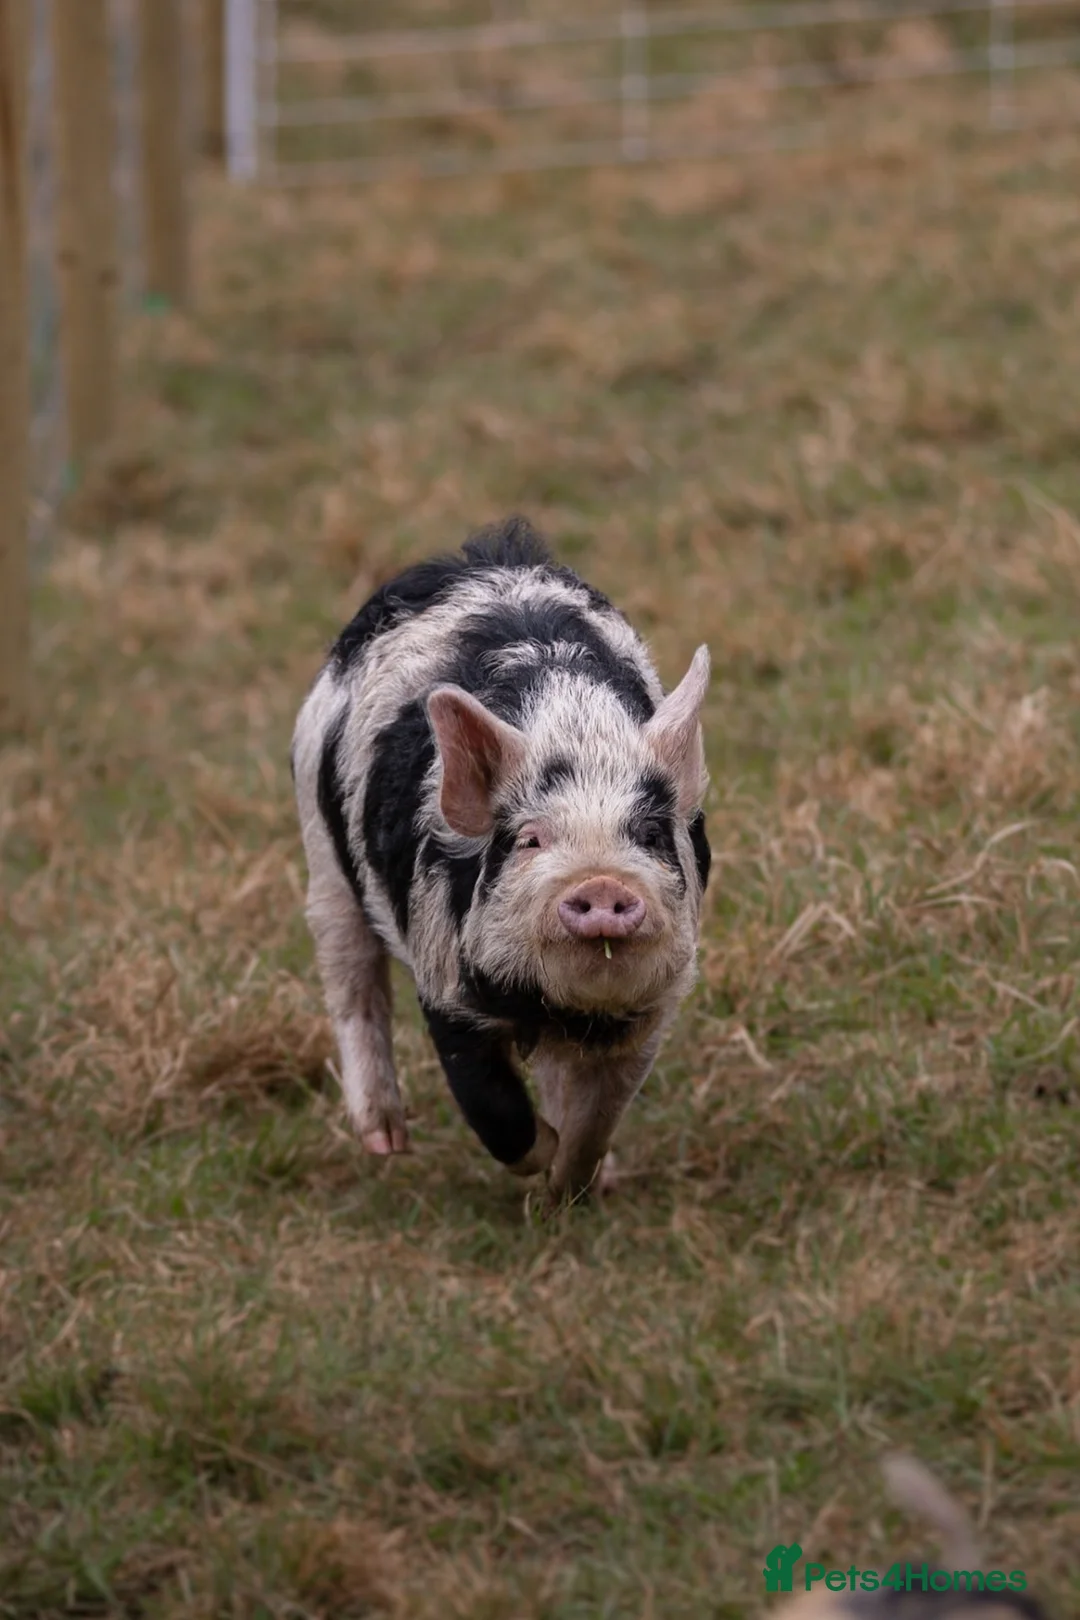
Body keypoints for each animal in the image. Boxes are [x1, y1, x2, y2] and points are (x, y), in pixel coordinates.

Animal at [291, 516, 711, 1209]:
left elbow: (596, 1116)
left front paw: (572, 1187)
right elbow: (492, 1106)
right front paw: (542, 1157)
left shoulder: (648, 1010)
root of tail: (477, 557)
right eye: (530, 840)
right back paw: (385, 1142)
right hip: (321, 857)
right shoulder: (444, 976)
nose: (602, 884)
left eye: (650, 833)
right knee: (351, 981)